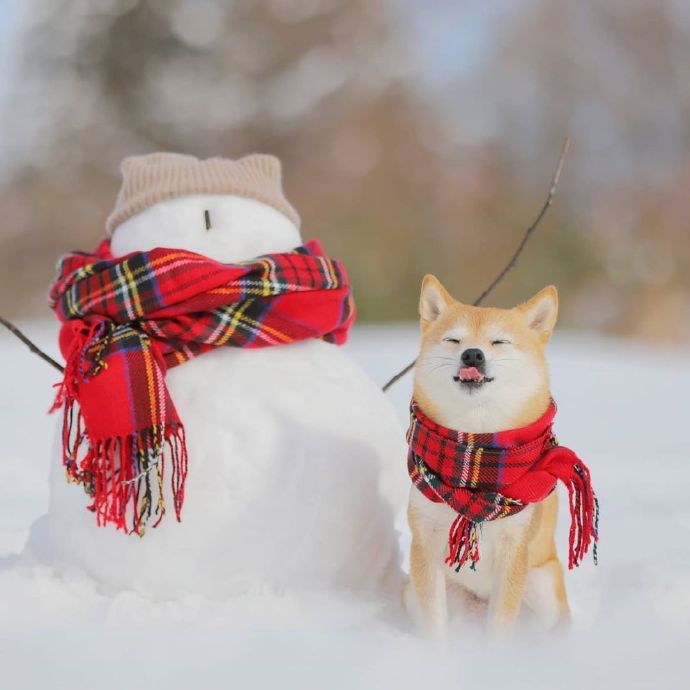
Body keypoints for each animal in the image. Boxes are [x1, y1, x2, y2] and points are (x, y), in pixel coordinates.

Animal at [404, 274, 576, 636]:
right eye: (453, 339)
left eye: (499, 342)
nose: (472, 354)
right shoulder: (425, 543)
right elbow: (434, 625)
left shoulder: (515, 550)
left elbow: (499, 626)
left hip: (542, 588)